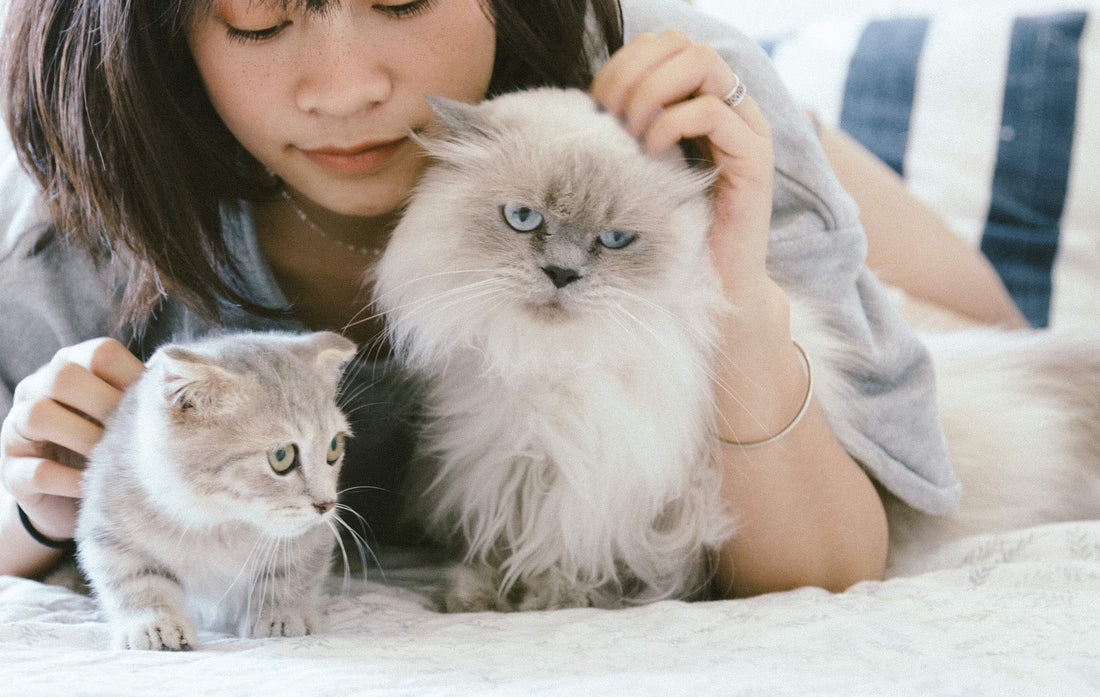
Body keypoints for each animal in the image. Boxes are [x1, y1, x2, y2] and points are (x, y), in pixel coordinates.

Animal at [75, 330, 358, 650]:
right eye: (281, 456)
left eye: (334, 447)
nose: (326, 504)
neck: (220, 521)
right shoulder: (109, 522)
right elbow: (135, 579)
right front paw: (155, 624)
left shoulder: (312, 536)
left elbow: (291, 574)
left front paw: (282, 615)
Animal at [374, 87, 1100, 611]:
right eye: (523, 220)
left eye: (614, 240)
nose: (561, 275)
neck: (557, 375)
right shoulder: (507, 463)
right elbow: (504, 542)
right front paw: (476, 593)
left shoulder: (616, 484)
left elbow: (577, 549)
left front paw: (556, 594)